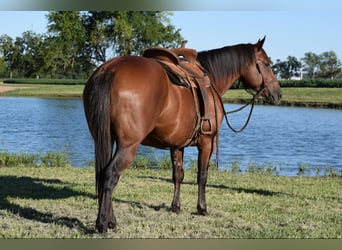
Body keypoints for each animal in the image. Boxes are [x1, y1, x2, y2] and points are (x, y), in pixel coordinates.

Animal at [82, 37, 280, 232]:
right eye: (267, 64)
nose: (278, 93)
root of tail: (111, 69)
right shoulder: (207, 143)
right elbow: (202, 176)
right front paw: (202, 208)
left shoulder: (177, 144)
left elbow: (178, 174)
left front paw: (175, 206)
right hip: (128, 145)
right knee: (110, 175)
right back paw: (103, 224)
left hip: (105, 139)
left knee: (102, 173)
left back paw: (110, 220)